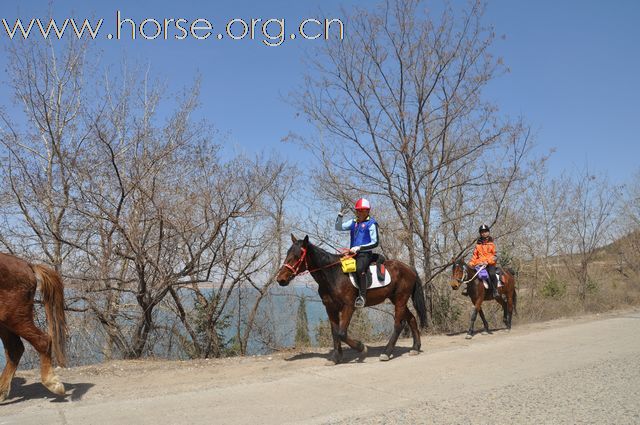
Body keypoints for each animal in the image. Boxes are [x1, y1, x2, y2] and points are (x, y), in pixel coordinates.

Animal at [274, 234, 424, 362]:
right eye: (287, 254)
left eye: (297, 255)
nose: (281, 279)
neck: (333, 274)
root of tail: (409, 268)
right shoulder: (330, 308)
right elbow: (335, 332)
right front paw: (336, 357)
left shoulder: (349, 306)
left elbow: (341, 333)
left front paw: (361, 348)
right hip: (396, 299)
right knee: (411, 318)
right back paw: (415, 348)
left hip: (400, 299)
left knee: (399, 324)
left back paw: (386, 352)